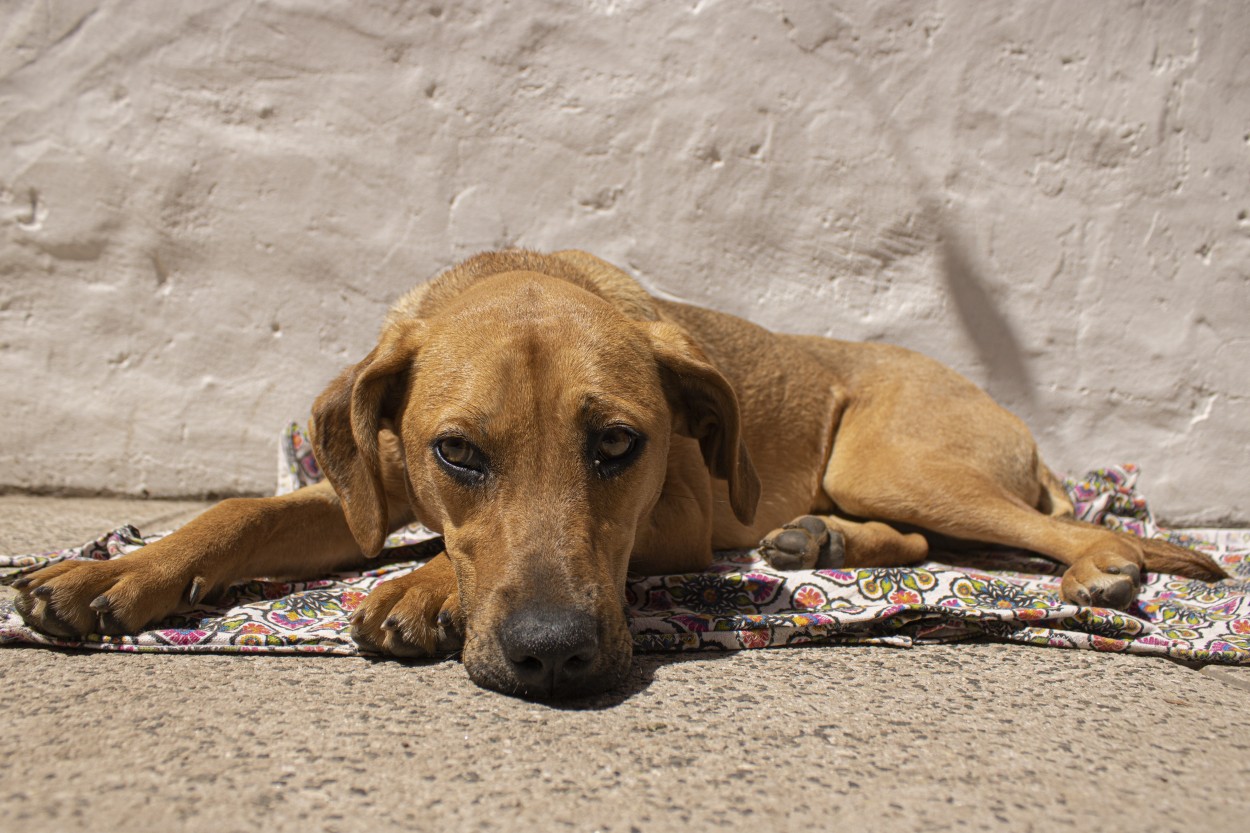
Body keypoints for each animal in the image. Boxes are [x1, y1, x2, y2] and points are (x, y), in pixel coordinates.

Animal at [14, 246, 1225, 695]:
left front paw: (421, 586)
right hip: (883, 481)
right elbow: (235, 516)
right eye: (457, 450)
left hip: (898, 455)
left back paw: (1104, 569)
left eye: (618, 446)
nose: (552, 654)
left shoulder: (677, 514)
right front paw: (110, 573)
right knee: (931, 538)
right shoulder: (367, 487)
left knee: (1059, 527)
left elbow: (451, 554)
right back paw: (815, 538)